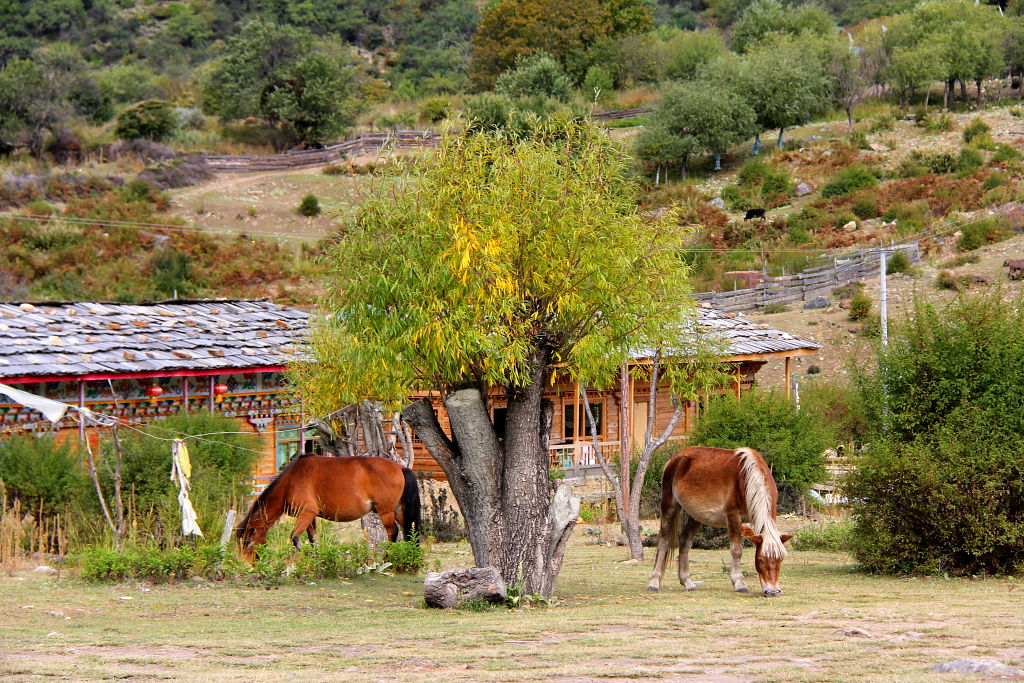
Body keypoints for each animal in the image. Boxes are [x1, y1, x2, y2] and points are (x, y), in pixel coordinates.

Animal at [235, 456, 419, 565]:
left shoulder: (307, 513)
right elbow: (313, 540)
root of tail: (401, 468)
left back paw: (387, 560)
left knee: (393, 533)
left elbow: (295, 539)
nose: (244, 564)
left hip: (386, 512)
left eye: (247, 542)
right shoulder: (310, 517)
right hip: (399, 511)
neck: (291, 481)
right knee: (409, 531)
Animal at [647, 446, 790, 593]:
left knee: (684, 540)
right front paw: (739, 583)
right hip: (669, 507)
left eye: (780, 559)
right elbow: (736, 550)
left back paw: (687, 582)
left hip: (696, 515)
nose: (773, 591)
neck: (745, 478)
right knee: (664, 541)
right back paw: (654, 582)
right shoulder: (733, 516)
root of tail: (676, 458)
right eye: (761, 559)